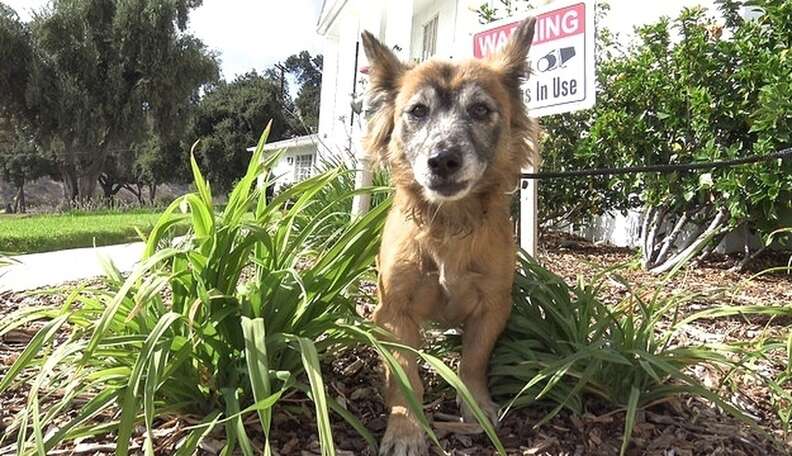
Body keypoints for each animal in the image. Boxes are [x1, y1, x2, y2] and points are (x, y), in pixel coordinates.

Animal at [362, 16, 540, 454]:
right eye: (417, 111)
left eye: (480, 110)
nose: (442, 159)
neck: (449, 225)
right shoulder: (394, 312)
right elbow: (405, 375)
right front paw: (405, 428)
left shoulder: (493, 306)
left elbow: (473, 360)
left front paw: (476, 405)